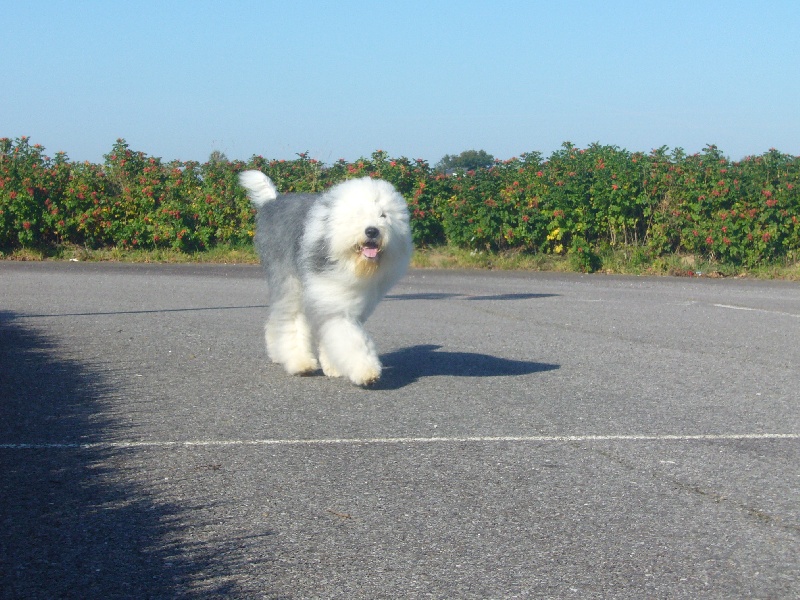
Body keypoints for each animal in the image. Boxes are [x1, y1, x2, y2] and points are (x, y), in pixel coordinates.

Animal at [238, 170, 412, 384]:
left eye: (383, 215)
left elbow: (334, 334)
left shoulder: (343, 300)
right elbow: (350, 338)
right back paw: (299, 362)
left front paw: (335, 367)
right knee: (289, 319)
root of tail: (273, 200)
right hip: (289, 281)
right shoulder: (334, 301)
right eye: (358, 214)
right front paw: (366, 370)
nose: (372, 231)